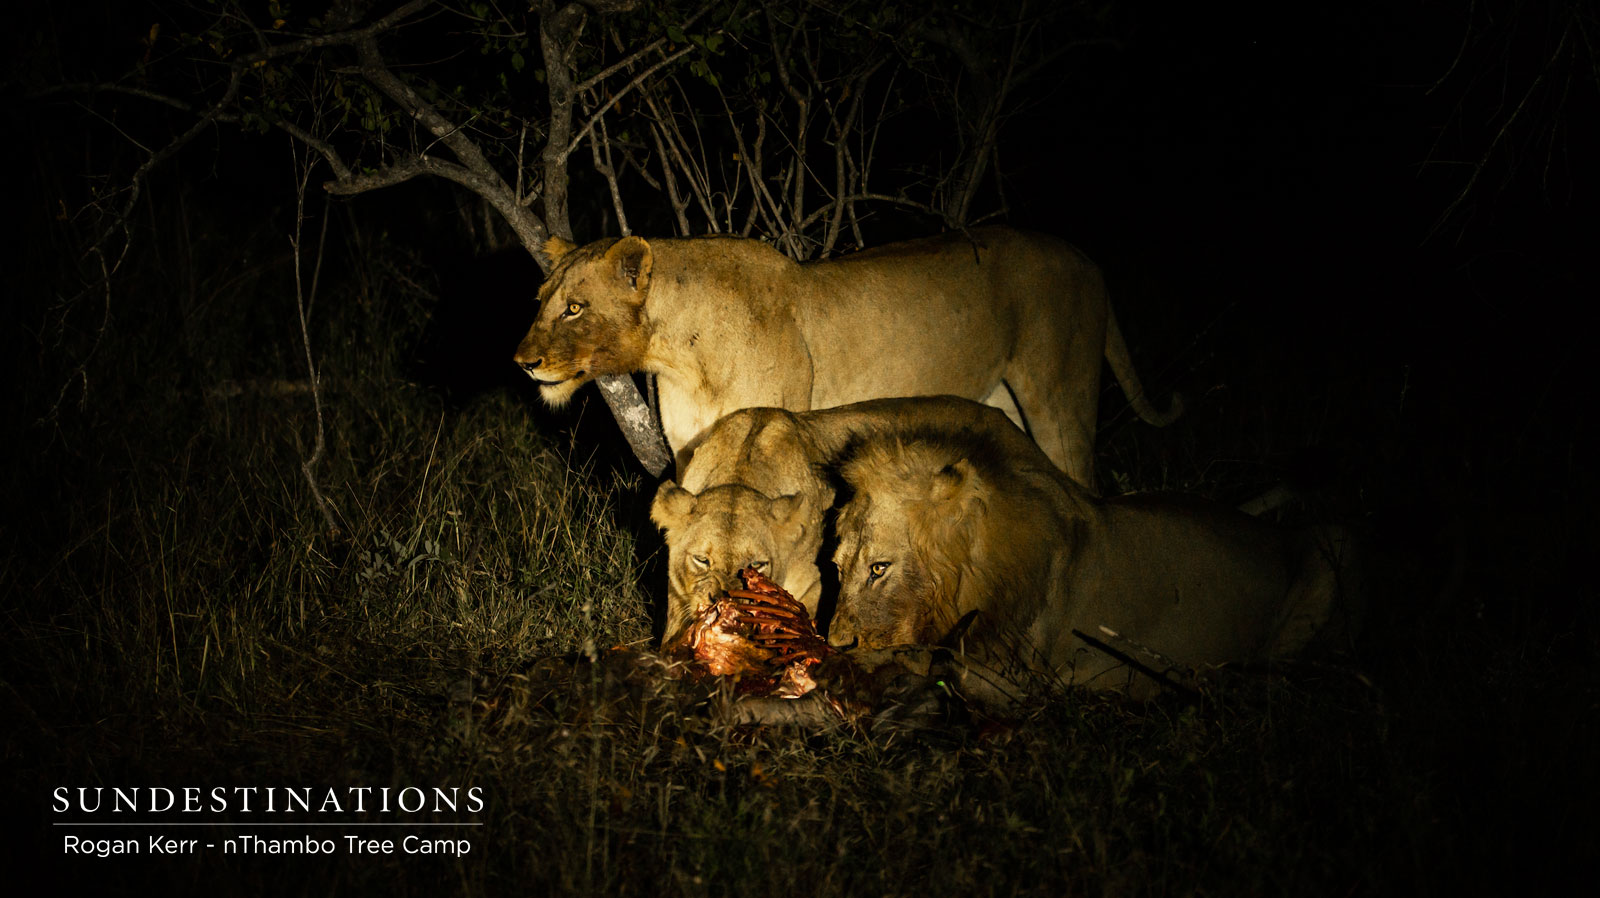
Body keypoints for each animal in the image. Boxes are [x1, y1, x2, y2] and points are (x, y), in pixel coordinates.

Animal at [514, 227, 1180, 486]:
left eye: (574, 308)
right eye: (541, 300)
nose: (522, 361)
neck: (676, 354)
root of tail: (1087, 260)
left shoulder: (769, 432)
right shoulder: (689, 449)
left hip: (1060, 399)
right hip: (1005, 404)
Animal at [649, 397, 1029, 647]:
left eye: (757, 565)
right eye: (702, 560)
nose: (725, 605)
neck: (741, 473)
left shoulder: (816, 586)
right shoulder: (677, 595)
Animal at [828, 419, 1363, 699]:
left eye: (879, 568)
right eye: (837, 566)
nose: (834, 642)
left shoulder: (1018, 679)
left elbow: (920, 660)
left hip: (1332, 543)